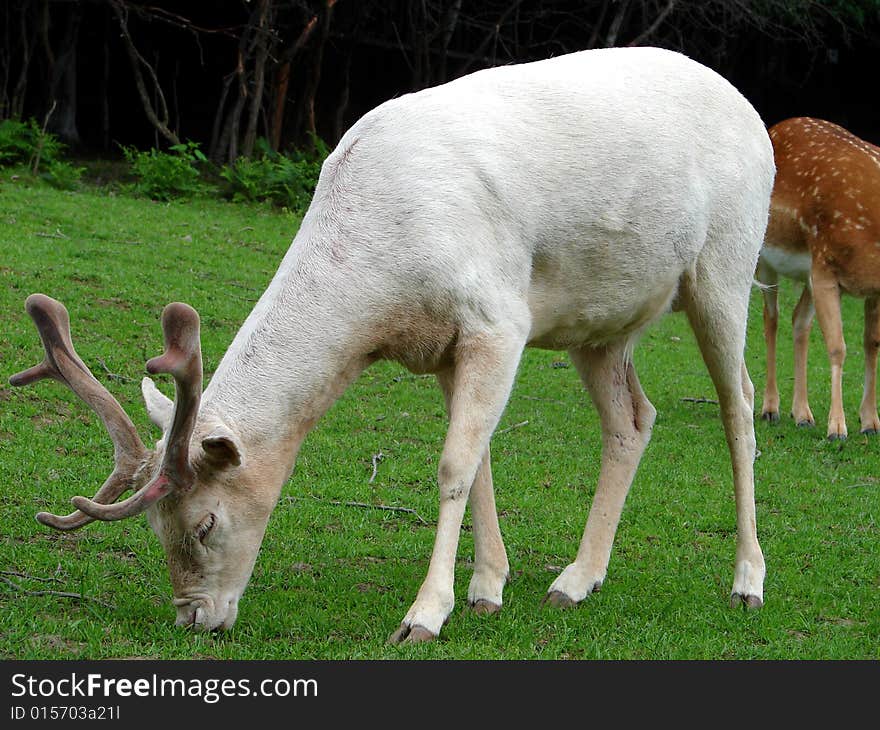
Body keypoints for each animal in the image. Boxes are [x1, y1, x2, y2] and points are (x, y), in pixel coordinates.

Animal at [12, 45, 768, 640]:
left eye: (204, 525)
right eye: (154, 528)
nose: (194, 618)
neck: (384, 285)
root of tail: (753, 114)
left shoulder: (498, 319)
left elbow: (454, 464)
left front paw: (425, 615)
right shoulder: (441, 346)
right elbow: (481, 460)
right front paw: (487, 589)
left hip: (726, 268)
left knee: (739, 404)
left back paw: (747, 581)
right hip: (602, 319)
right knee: (633, 419)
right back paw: (576, 579)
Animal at [756, 118, 880, 438]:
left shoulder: (874, 290)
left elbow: (871, 344)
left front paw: (870, 421)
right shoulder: (825, 266)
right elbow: (837, 347)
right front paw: (837, 427)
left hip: (808, 274)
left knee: (799, 320)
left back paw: (802, 413)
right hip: (762, 258)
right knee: (769, 317)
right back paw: (769, 408)